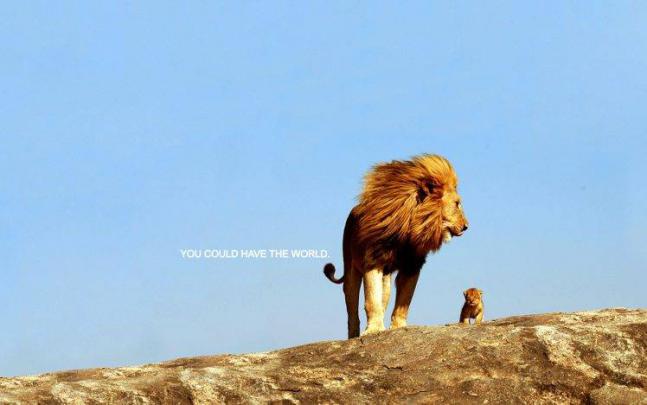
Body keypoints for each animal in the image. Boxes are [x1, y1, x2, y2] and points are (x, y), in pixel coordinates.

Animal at [323, 154, 468, 338]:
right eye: (457, 204)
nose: (466, 226)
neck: (409, 228)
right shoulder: (373, 261)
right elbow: (371, 300)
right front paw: (373, 330)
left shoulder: (412, 266)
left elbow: (404, 301)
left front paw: (398, 327)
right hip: (351, 270)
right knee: (352, 308)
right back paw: (354, 335)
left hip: (386, 281)